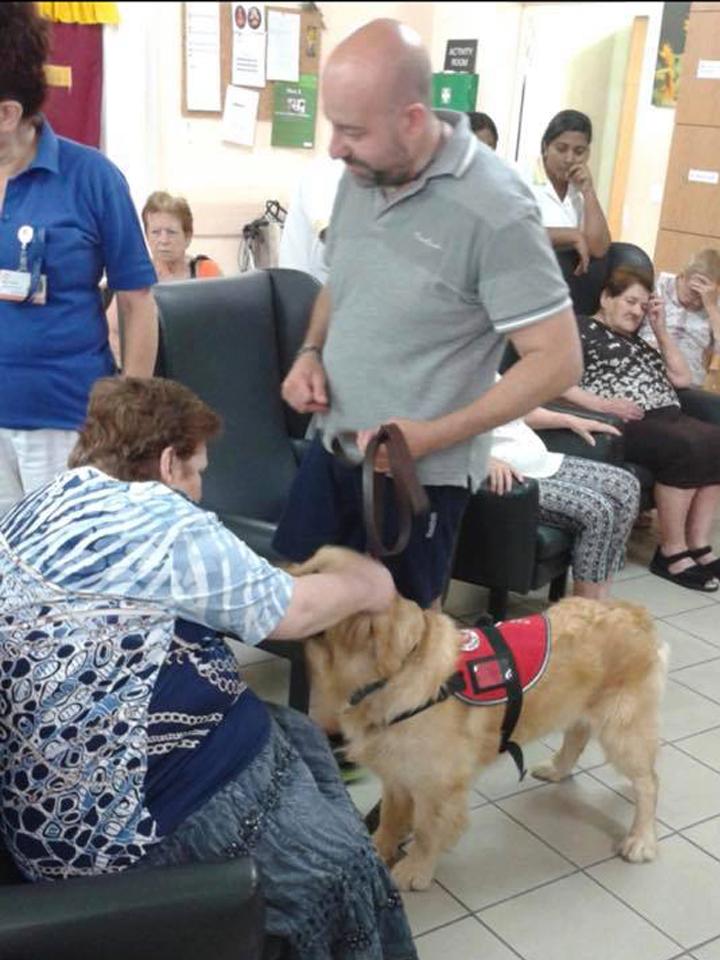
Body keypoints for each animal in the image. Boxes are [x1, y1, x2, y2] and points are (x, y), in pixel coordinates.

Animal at [292, 548, 668, 892]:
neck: (389, 676)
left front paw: (415, 870)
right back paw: (556, 769)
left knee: (649, 782)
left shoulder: (440, 785)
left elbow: (427, 831)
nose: (284, 572)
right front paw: (380, 849)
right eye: (309, 562)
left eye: (319, 575)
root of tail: (636, 613)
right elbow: (390, 818)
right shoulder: (397, 773)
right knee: (577, 738)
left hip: (623, 730)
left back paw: (641, 839)